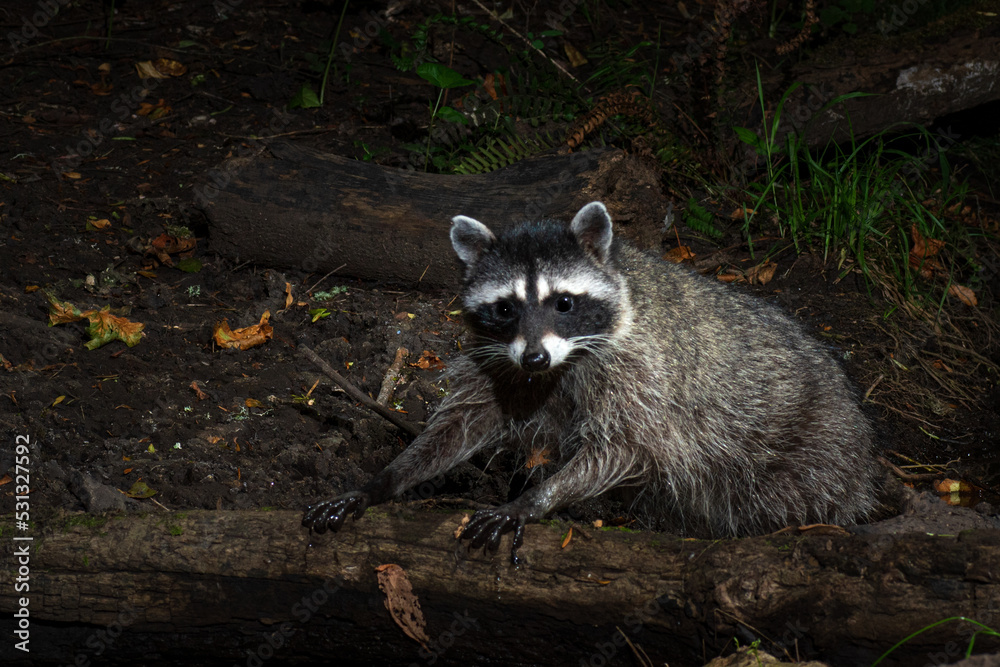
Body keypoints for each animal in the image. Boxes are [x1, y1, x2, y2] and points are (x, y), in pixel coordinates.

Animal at [303, 201, 879, 558]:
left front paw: (535, 501)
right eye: (505, 307)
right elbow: (461, 425)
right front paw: (384, 479)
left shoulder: (641, 372)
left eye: (563, 302)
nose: (535, 358)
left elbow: (625, 446)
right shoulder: (500, 361)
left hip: (807, 454)